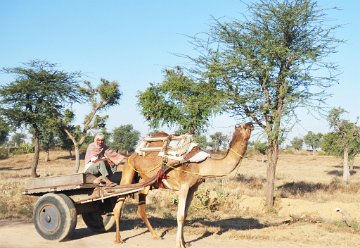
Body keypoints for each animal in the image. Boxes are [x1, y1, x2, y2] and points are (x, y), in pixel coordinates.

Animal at [112, 122, 253, 248]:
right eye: (243, 126)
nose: (251, 123)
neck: (202, 165)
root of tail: (131, 155)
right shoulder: (184, 186)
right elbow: (179, 216)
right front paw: (179, 243)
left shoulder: (192, 188)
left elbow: (185, 215)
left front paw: (185, 242)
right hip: (128, 172)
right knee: (118, 206)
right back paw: (119, 239)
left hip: (144, 181)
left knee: (141, 209)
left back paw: (156, 236)